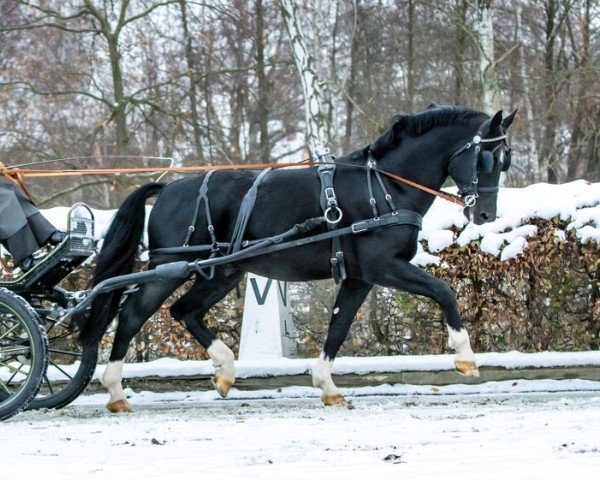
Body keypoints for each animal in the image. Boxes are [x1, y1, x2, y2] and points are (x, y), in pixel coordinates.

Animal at [78, 106, 516, 412]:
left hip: (222, 272)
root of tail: (167, 189)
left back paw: (224, 371)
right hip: (168, 270)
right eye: (489, 159)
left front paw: (327, 386)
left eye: (504, 160)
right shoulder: (384, 267)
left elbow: (338, 327)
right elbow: (443, 291)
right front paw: (465, 357)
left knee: (185, 311)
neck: (384, 187)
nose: (485, 215)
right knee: (133, 315)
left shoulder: (359, 277)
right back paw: (115, 390)